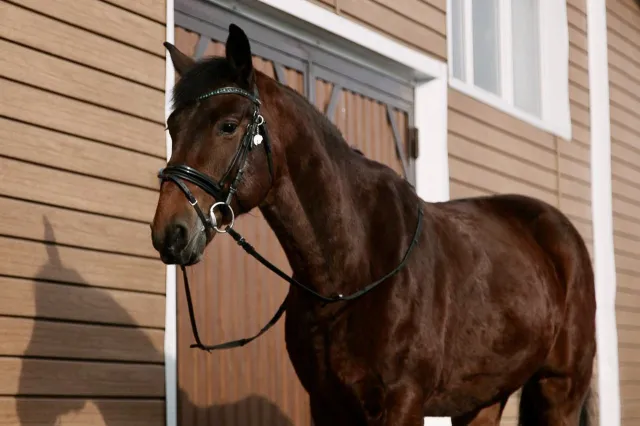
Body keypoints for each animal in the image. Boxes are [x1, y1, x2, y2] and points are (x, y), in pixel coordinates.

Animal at [150, 23, 596, 426]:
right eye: (172, 126)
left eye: (227, 125)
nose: (170, 233)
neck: (350, 272)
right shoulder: (325, 403)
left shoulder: (403, 401)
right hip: (482, 398)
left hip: (561, 388)